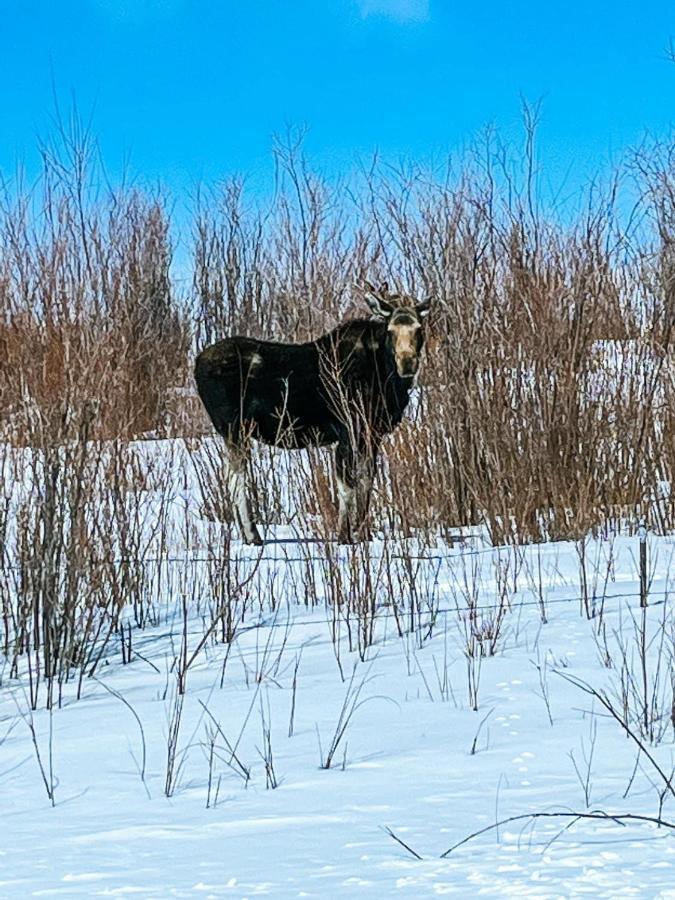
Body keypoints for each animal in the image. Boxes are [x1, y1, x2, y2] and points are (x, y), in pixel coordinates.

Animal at [193, 282, 430, 544]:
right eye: (390, 330)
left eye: (419, 328)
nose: (407, 363)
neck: (387, 378)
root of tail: (196, 363)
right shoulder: (347, 431)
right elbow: (346, 486)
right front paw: (344, 536)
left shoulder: (371, 435)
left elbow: (367, 482)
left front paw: (363, 533)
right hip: (234, 428)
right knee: (237, 478)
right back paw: (253, 535)